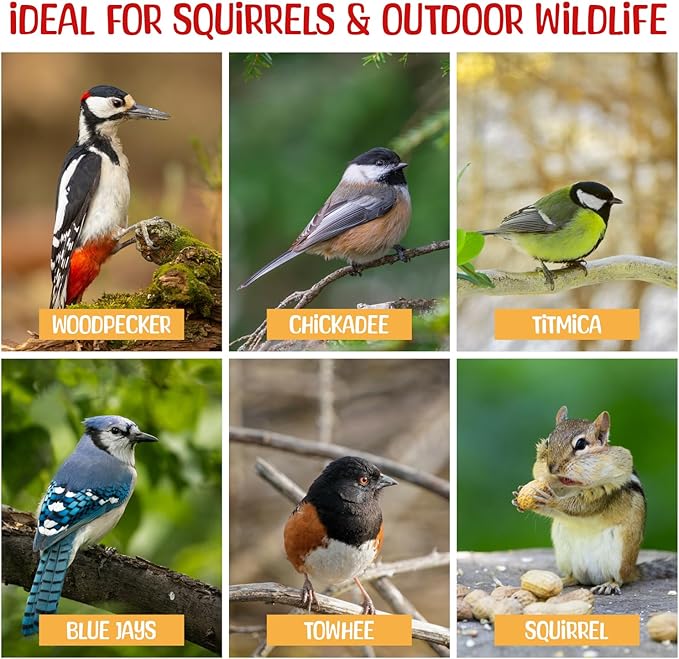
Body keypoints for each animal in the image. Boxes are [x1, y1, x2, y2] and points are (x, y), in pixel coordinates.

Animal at [512, 405, 673, 595]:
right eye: (548, 441)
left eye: (581, 444)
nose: (551, 467)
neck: (572, 486)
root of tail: (633, 570)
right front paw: (519, 497)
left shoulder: (605, 491)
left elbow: (581, 506)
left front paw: (551, 500)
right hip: (565, 555)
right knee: (574, 577)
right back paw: (562, 580)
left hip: (619, 556)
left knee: (620, 579)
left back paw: (609, 584)